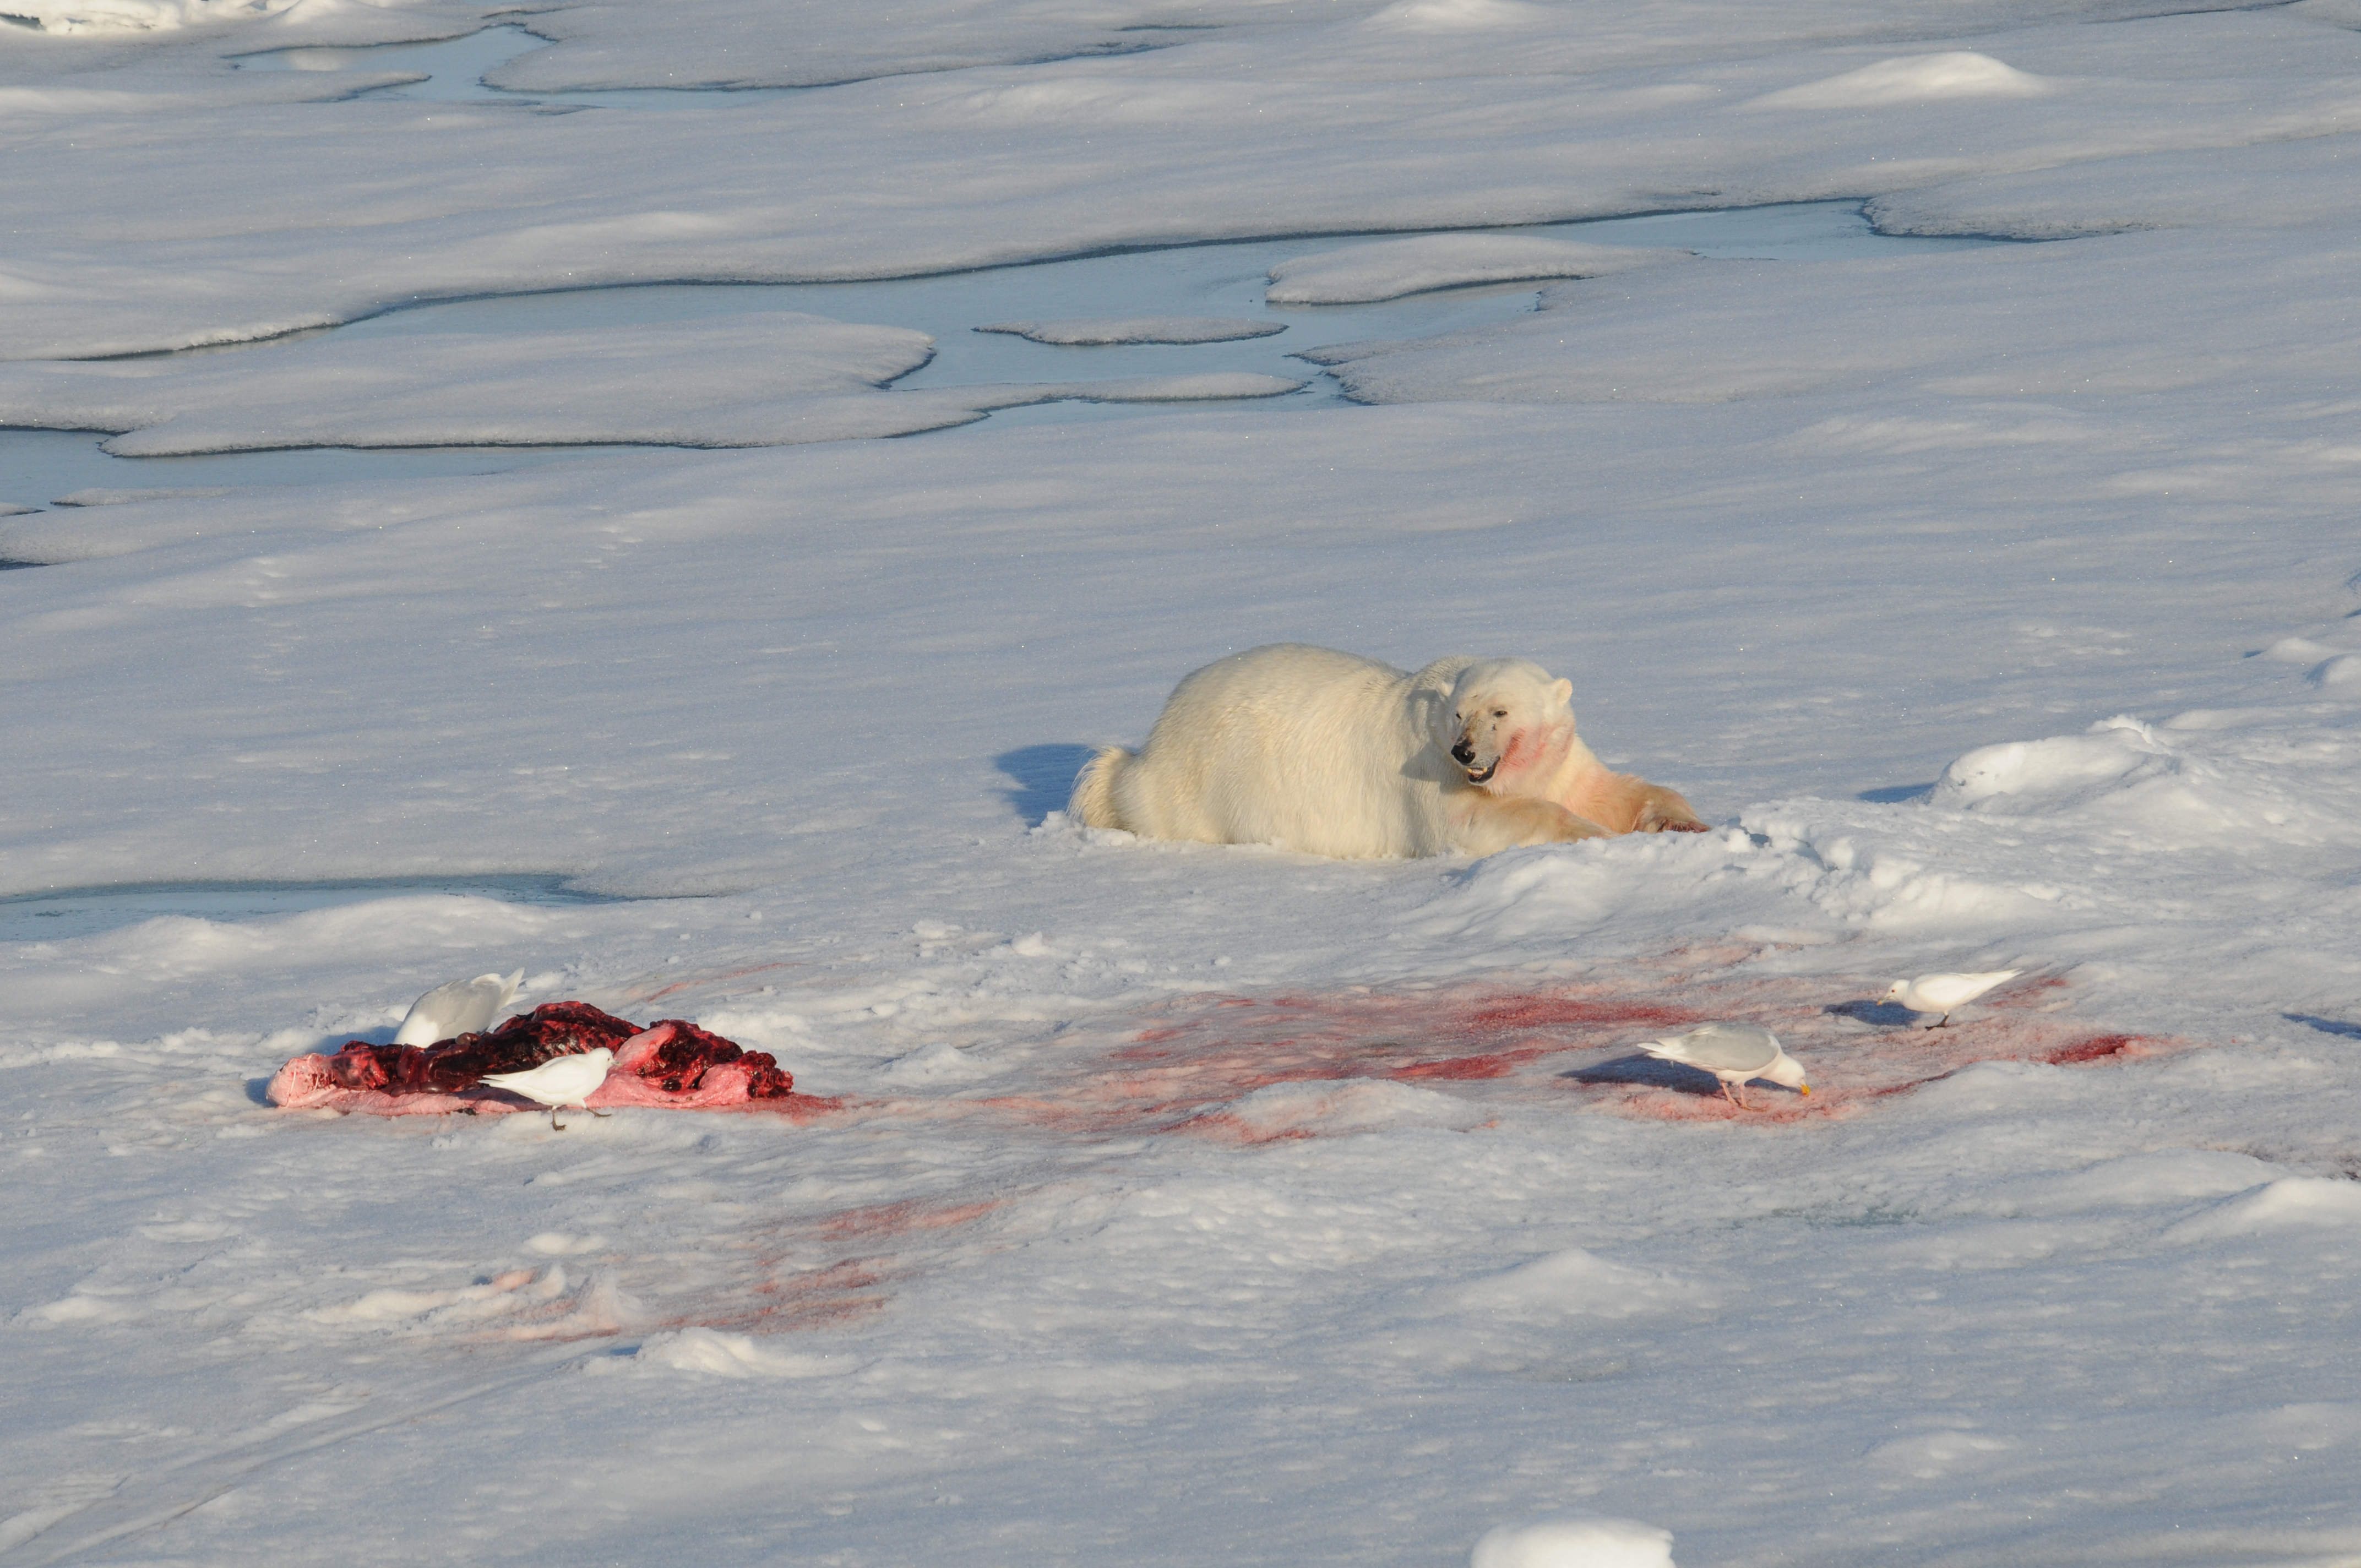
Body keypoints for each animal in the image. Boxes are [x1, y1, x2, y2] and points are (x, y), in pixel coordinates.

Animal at [1067, 642, 1700, 859]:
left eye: (1500, 712)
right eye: (1459, 713)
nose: (1466, 752)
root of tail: (1155, 736)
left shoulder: (1560, 760)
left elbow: (1610, 789)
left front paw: (1682, 822)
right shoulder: (1429, 772)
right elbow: (1473, 823)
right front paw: (1593, 834)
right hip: (1197, 785)